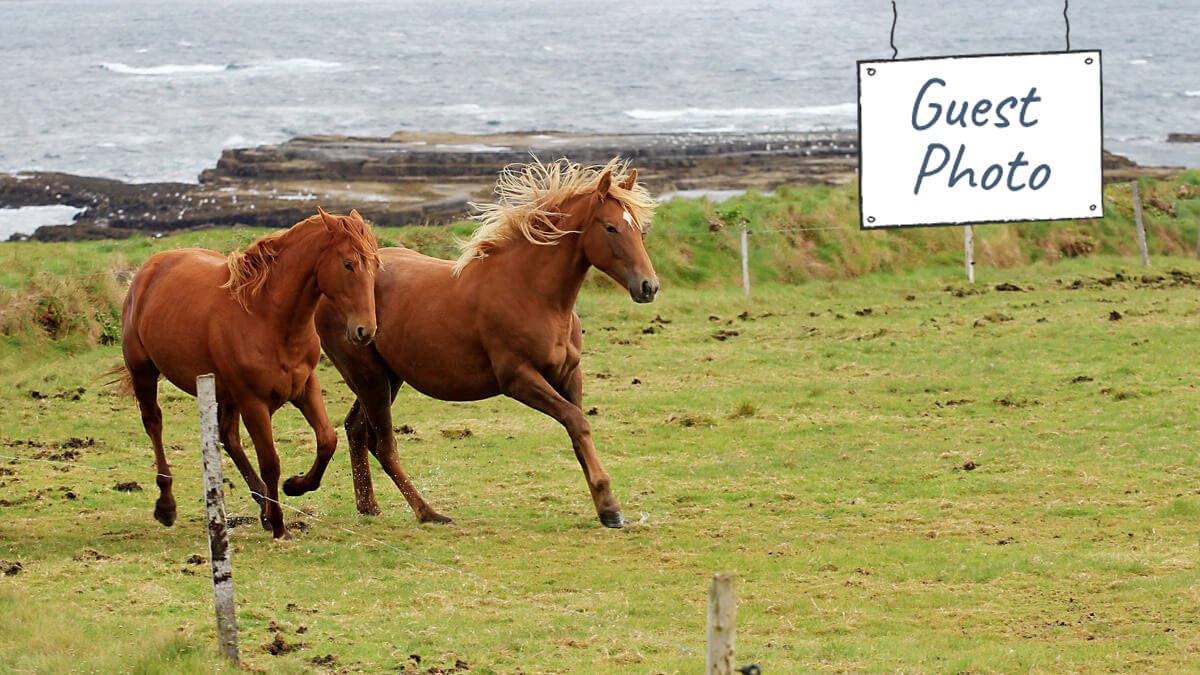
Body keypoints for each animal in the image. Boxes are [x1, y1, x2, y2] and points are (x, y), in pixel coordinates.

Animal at [115, 208, 379, 535]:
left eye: (375, 264)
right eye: (348, 264)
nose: (365, 331)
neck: (268, 318)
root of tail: (148, 269)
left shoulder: (305, 388)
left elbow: (327, 440)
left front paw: (295, 486)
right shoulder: (253, 402)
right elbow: (270, 462)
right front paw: (279, 525)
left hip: (224, 393)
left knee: (228, 437)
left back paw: (262, 504)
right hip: (145, 373)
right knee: (154, 424)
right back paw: (166, 505)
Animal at [314, 157, 662, 526]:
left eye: (639, 229)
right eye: (610, 228)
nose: (648, 286)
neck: (532, 293)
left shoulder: (569, 375)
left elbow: (577, 430)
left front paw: (605, 505)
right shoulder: (518, 378)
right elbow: (577, 422)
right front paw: (610, 508)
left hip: (387, 378)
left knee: (356, 430)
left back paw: (369, 507)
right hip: (370, 378)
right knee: (382, 445)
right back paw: (428, 512)